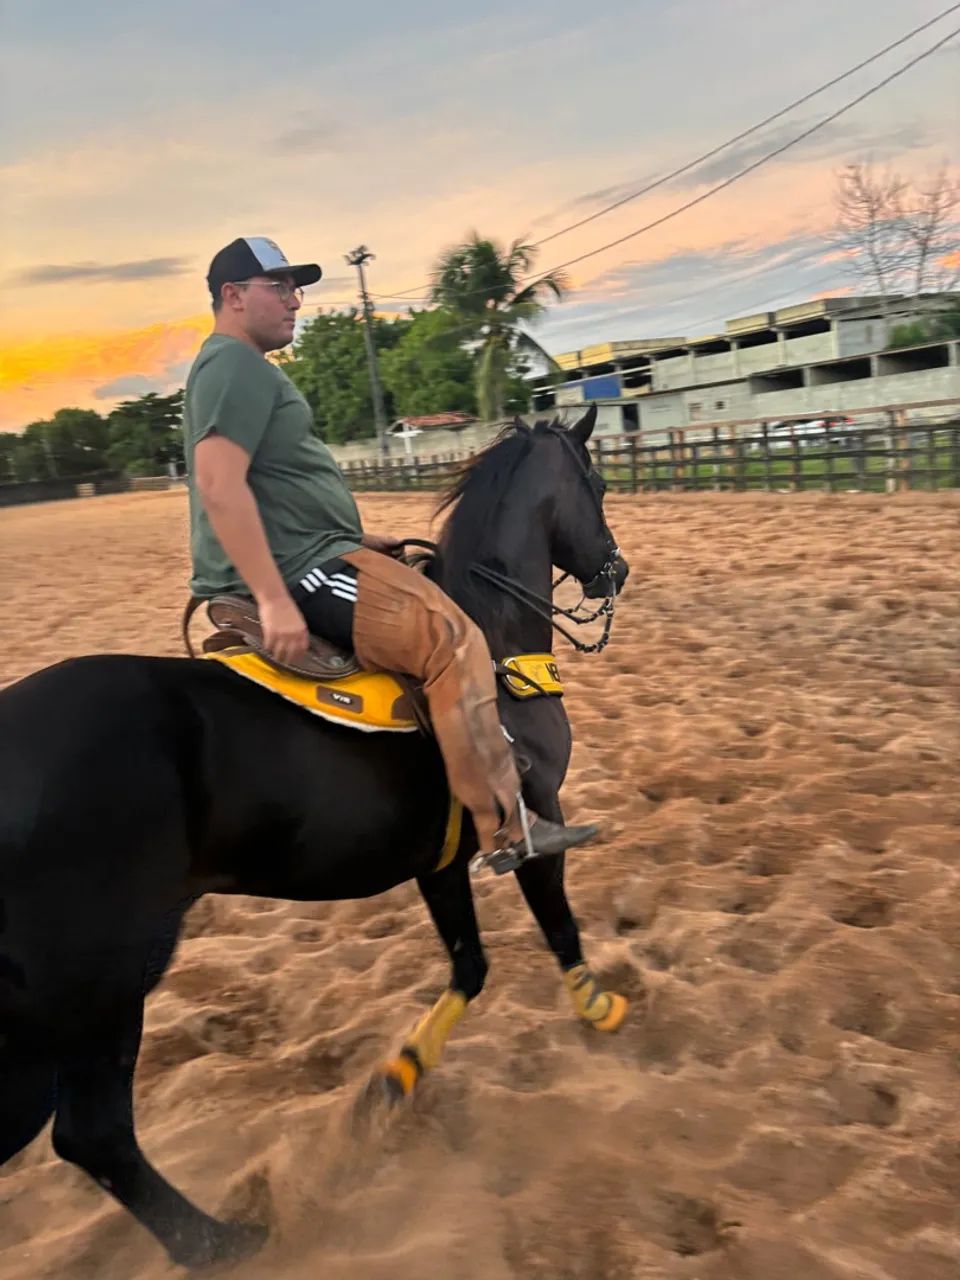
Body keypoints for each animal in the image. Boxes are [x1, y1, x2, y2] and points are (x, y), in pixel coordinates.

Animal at [0, 405, 629, 1270]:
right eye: (595, 481)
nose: (614, 570)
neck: (495, 645)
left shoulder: (440, 863)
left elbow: (469, 968)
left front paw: (394, 1082)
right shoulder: (534, 822)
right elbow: (558, 925)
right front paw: (601, 1009)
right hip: (107, 983)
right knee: (93, 1135)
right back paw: (218, 1242)